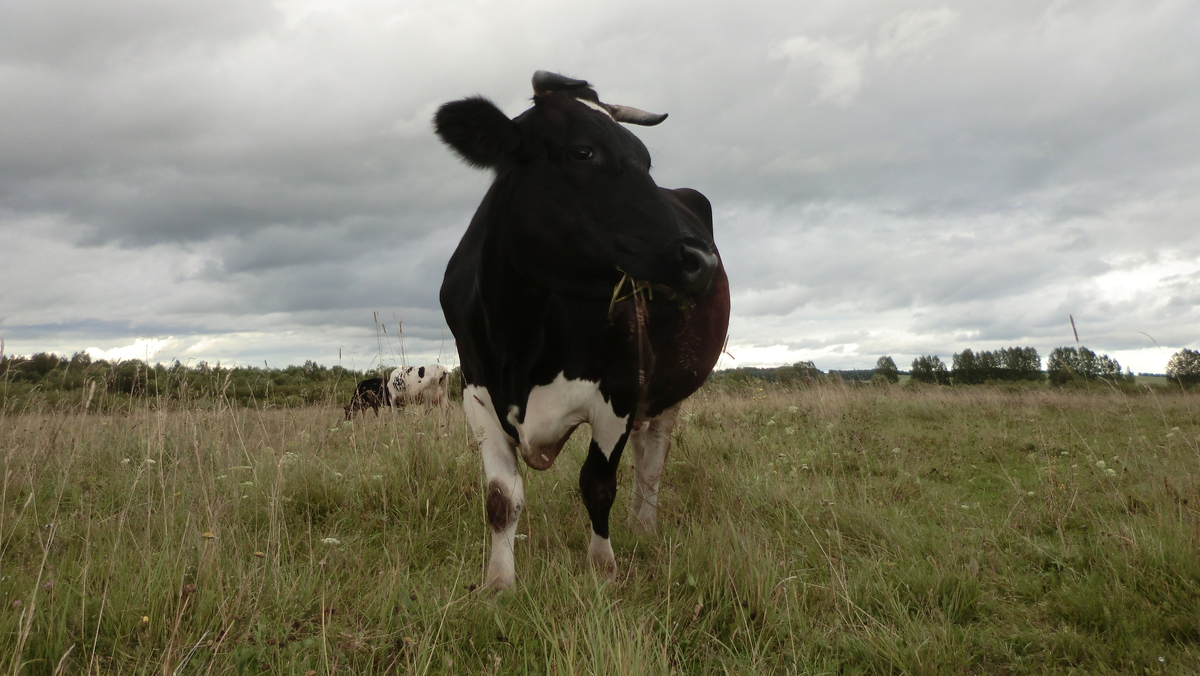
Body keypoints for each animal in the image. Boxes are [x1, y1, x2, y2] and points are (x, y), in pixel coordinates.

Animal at [434, 71, 724, 590]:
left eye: (646, 160)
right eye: (583, 152)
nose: (702, 260)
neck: (520, 330)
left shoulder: (619, 393)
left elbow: (597, 484)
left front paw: (603, 567)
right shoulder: (476, 394)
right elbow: (500, 498)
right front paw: (498, 583)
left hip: (667, 389)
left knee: (653, 457)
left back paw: (644, 526)